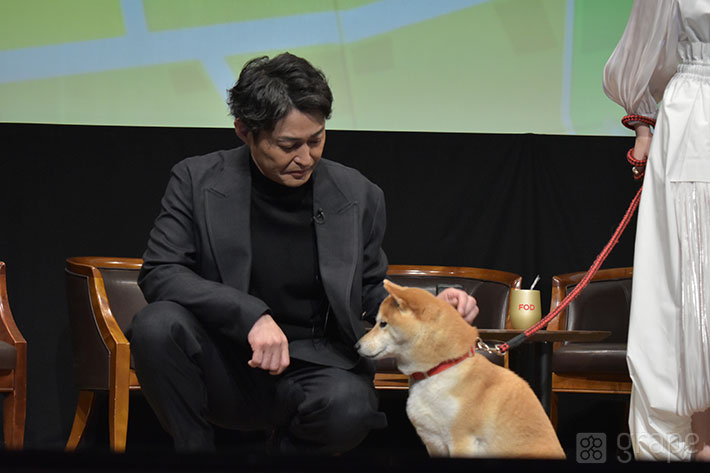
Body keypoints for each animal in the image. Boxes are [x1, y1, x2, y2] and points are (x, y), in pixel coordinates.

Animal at [356, 280, 568, 458]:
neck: (440, 369)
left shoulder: (461, 441)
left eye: (383, 324)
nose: (356, 345)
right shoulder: (433, 442)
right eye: (376, 321)